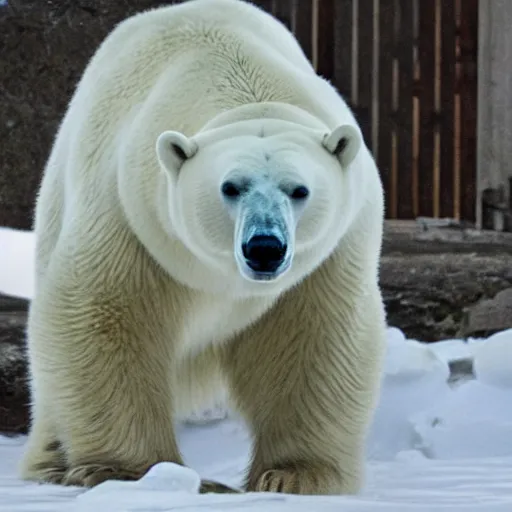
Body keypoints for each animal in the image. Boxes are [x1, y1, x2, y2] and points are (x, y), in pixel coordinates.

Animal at [20, 0, 388, 498]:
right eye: (230, 187)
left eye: (299, 190)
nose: (265, 247)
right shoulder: (130, 212)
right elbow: (102, 312)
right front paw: (128, 472)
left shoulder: (332, 249)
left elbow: (314, 336)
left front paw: (295, 475)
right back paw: (53, 462)